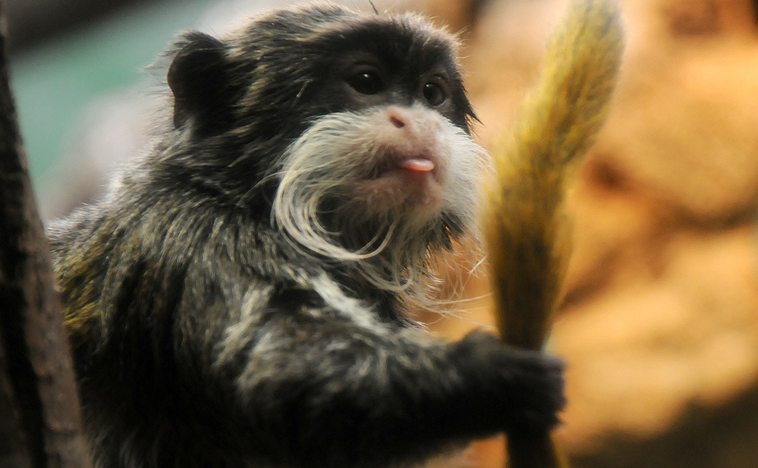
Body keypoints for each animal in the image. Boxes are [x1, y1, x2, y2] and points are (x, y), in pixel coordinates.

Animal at [47, 3, 564, 468]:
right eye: (366, 81)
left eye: (432, 93)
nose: (418, 120)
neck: (246, 202)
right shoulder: (188, 239)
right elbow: (273, 369)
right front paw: (490, 375)